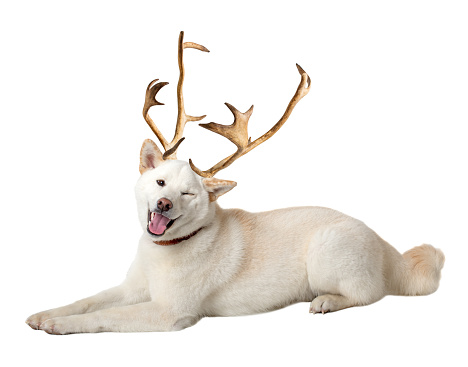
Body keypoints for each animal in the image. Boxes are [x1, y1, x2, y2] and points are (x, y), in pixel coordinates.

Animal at [25, 33, 446, 334]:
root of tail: (386, 246)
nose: (163, 205)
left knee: (368, 294)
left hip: (328, 253)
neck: (166, 250)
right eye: (160, 182)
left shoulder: (166, 312)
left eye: (187, 194)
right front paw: (46, 313)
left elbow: (99, 318)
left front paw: (59, 325)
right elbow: (87, 301)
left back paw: (326, 301)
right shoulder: (129, 290)